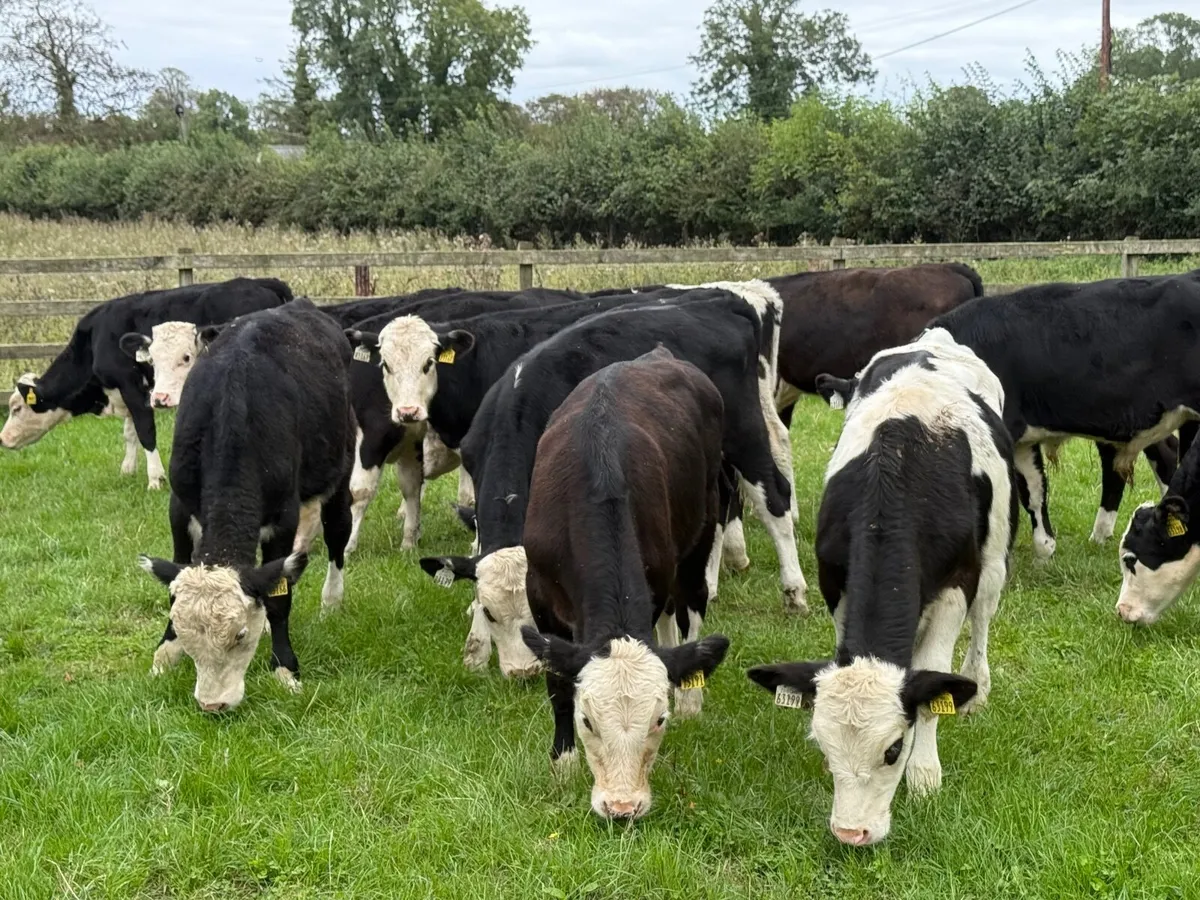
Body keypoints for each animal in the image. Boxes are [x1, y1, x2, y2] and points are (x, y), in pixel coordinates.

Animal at [4, 277, 292, 488]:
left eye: (16, 408)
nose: (2, 439)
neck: (93, 343)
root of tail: (260, 282)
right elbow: (129, 432)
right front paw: (127, 469)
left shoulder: (133, 388)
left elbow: (145, 431)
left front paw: (155, 478)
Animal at [136, 300, 354, 712]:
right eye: (187, 636)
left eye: (239, 635)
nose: (212, 705)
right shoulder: (179, 505)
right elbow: (176, 571)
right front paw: (165, 651)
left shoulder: (282, 518)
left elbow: (280, 597)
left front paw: (285, 667)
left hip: (340, 473)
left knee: (337, 533)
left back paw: (332, 600)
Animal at [419, 289, 806, 679]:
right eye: (490, 612)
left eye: (534, 614)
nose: (523, 672)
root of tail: (722, 303)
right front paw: (476, 647)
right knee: (720, 504)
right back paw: (711, 583)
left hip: (745, 431)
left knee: (774, 496)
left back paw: (794, 591)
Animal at [518, 348, 731, 819]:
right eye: (587, 720)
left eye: (658, 720)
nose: (621, 807)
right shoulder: (538, 591)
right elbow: (558, 683)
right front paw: (562, 764)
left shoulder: (655, 581)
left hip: (702, 526)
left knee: (690, 605)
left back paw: (691, 698)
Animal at [748, 327, 1016, 846]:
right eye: (823, 747)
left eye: (893, 749)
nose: (851, 833)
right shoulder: (836, 584)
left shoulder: (955, 588)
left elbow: (933, 687)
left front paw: (925, 773)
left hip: (993, 557)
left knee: (984, 618)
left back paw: (978, 688)